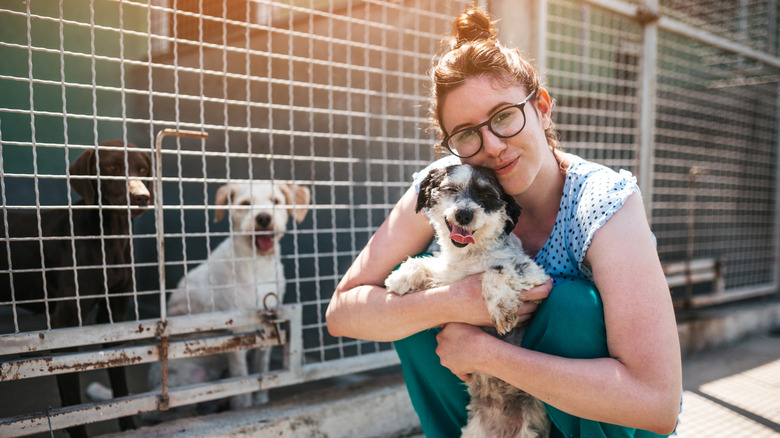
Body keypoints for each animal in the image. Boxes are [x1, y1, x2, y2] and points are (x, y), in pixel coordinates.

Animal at [0, 139, 154, 434]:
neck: (111, 239)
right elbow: (71, 410)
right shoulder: (65, 323)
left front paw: (129, 426)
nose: (142, 196)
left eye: (142, 169)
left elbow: (121, 387)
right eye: (111, 168)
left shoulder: (114, 316)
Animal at [386, 164, 552, 438]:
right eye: (450, 189)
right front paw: (401, 277)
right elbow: (423, 263)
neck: (469, 255)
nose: (463, 214)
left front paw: (501, 307)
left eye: (486, 195)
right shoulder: (446, 277)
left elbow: (496, 269)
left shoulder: (538, 279)